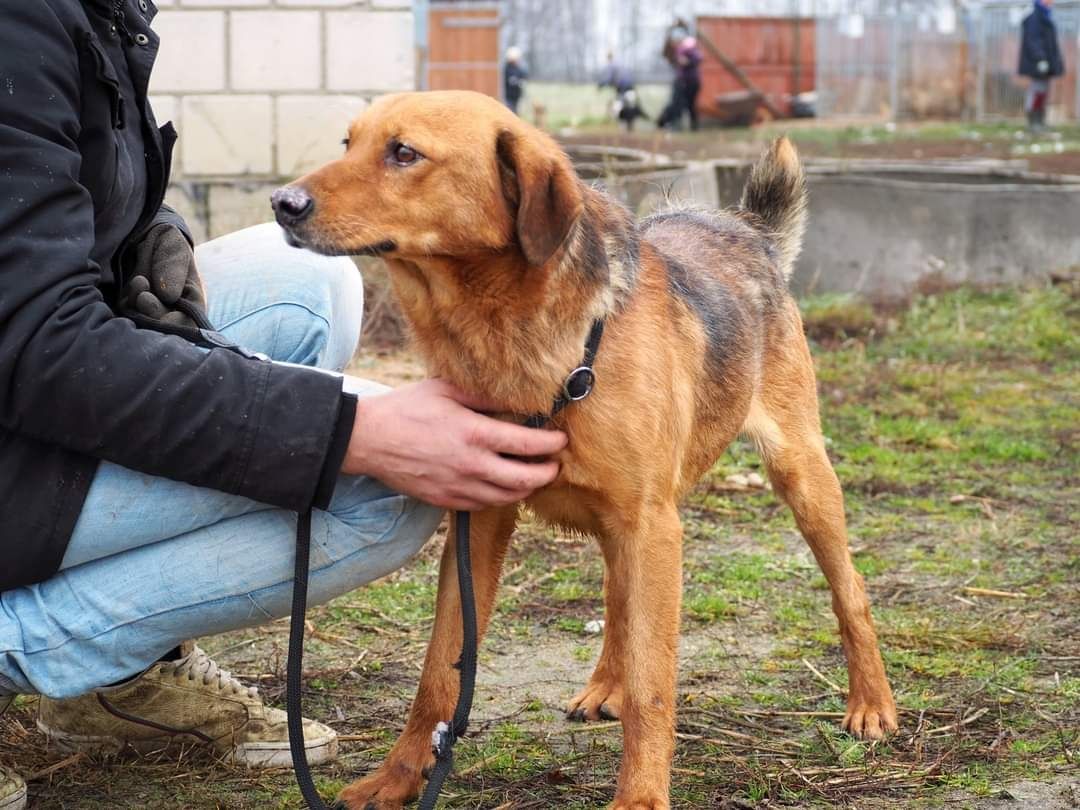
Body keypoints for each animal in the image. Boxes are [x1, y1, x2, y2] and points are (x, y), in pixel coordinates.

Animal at [274, 91, 898, 810]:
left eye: (404, 153)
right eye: (347, 144)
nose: (282, 203)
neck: (512, 340)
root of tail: (747, 229)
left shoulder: (650, 525)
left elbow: (654, 687)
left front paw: (641, 797)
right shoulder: (480, 521)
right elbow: (440, 671)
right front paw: (398, 777)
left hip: (800, 477)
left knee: (849, 591)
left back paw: (871, 703)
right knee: (616, 601)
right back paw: (606, 684)